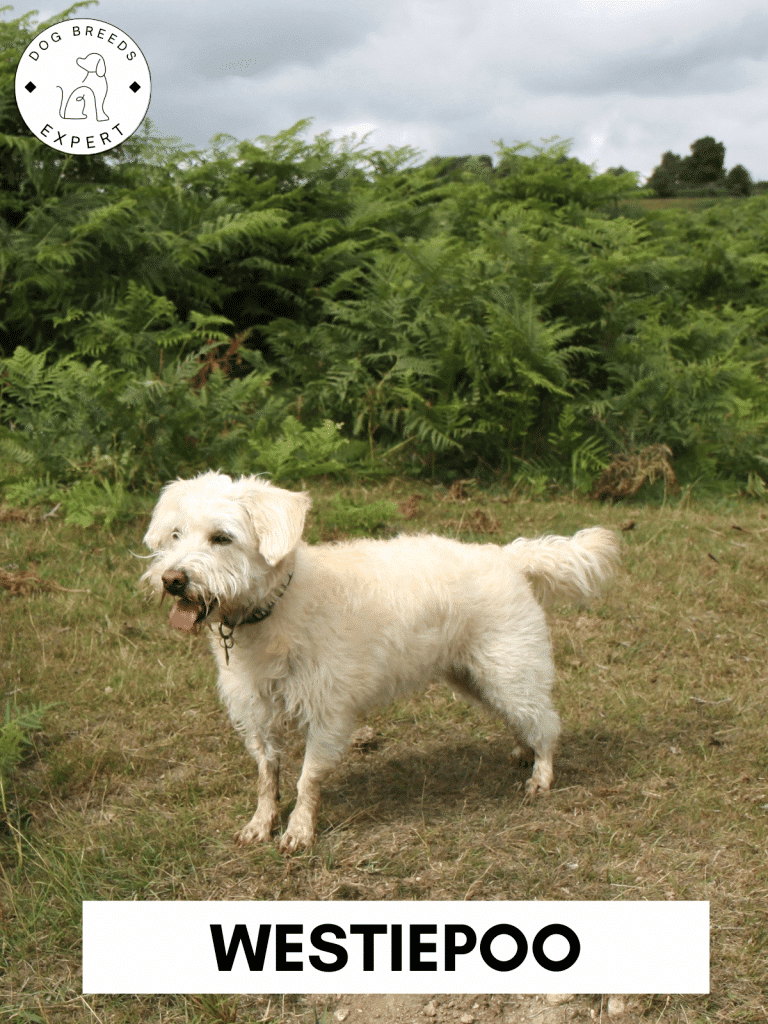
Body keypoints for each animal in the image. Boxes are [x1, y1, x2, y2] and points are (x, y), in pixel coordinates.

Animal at [143, 473, 618, 856]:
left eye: (222, 538)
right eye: (176, 535)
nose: (173, 580)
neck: (274, 608)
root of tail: (507, 556)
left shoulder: (328, 715)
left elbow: (306, 779)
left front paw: (299, 832)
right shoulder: (257, 713)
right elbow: (267, 776)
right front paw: (261, 825)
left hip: (509, 671)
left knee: (547, 723)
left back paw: (542, 774)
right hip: (476, 679)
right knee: (522, 718)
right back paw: (523, 751)